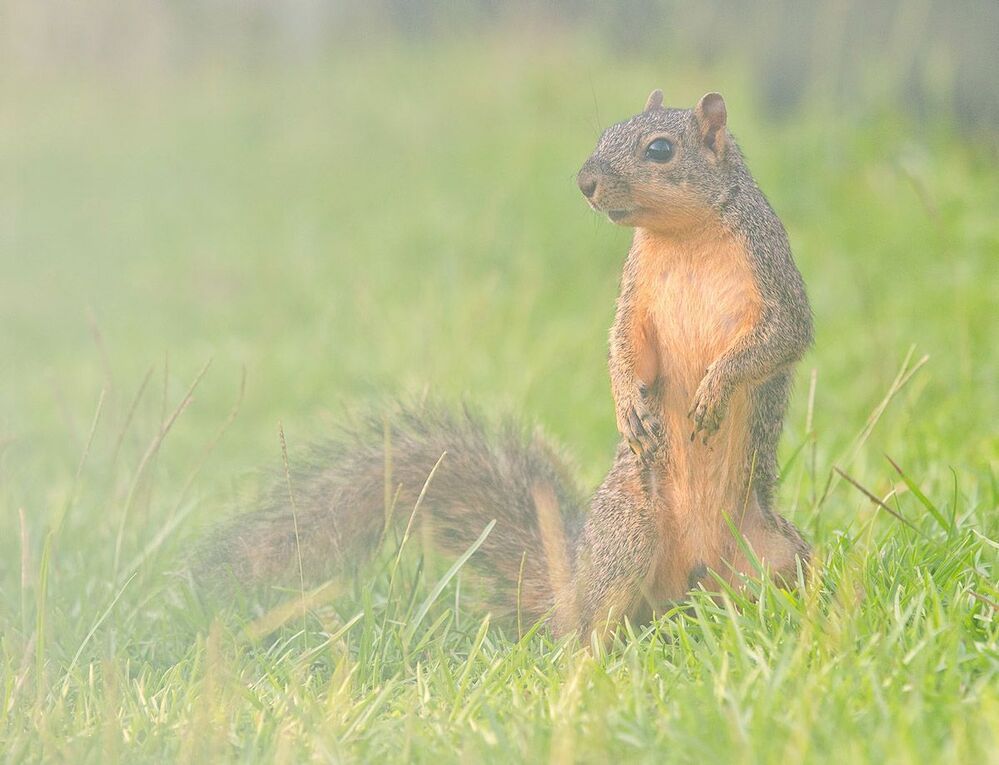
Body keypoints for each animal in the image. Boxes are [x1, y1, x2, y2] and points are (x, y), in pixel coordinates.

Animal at [195, 90, 813, 639]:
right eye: (602, 134)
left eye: (659, 149)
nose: (585, 183)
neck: (683, 237)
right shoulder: (636, 294)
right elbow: (623, 346)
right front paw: (627, 406)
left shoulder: (773, 275)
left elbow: (782, 337)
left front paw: (714, 388)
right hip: (629, 535)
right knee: (589, 626)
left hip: (779, 556)